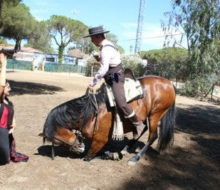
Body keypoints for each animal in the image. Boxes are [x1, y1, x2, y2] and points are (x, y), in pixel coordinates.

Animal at [40, 74, 176, 165]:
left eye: (58, 140)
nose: (78, 149)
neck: (89, 113)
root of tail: (168, 83)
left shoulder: (99, 141)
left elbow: (89, 157)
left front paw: (111, 155)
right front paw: (115, 153)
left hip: (155, 114)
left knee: (152, 136)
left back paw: (135, 157)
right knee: (141, 129)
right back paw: (125, 149)